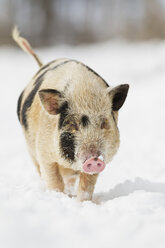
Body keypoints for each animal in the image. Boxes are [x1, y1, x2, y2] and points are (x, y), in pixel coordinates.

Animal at [12, 27, 129, 202]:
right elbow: (54, 180)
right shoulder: (44, 154)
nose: (93, 159)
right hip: (31, 151)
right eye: (73, 125)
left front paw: (82, 202)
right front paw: (59, 197)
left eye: (103, 123)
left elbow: (87, 185)